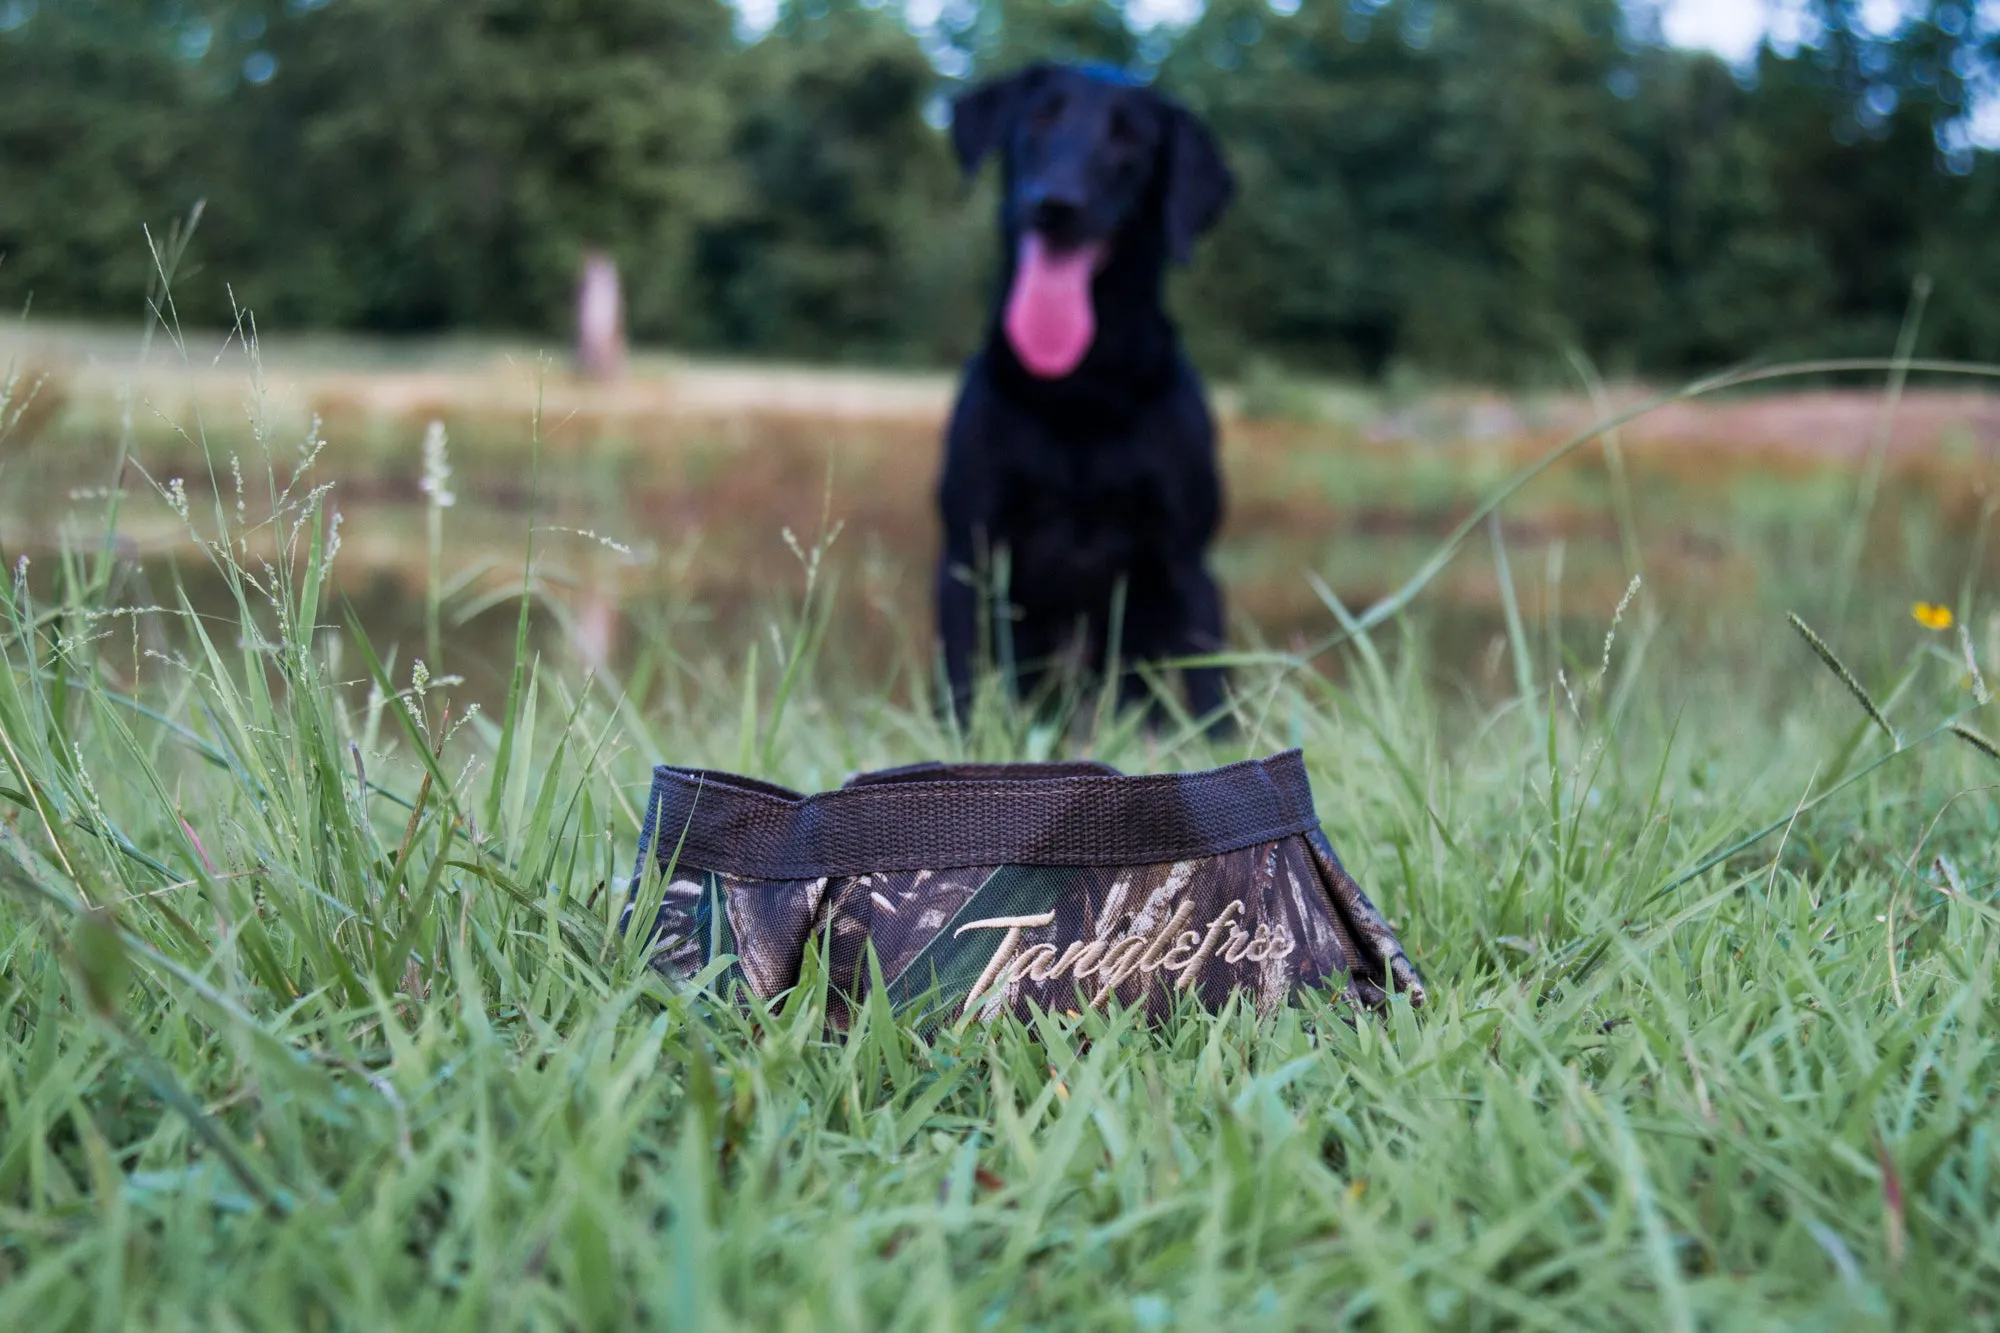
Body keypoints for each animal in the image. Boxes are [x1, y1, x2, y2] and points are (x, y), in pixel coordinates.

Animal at [932, 62, 1232, 728]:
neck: (1081, 391)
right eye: (1041, 118)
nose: (1055, 203)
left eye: (1131, 142)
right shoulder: (968, 556)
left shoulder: (1189, 565)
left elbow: (1213, 697)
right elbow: (961, 689)